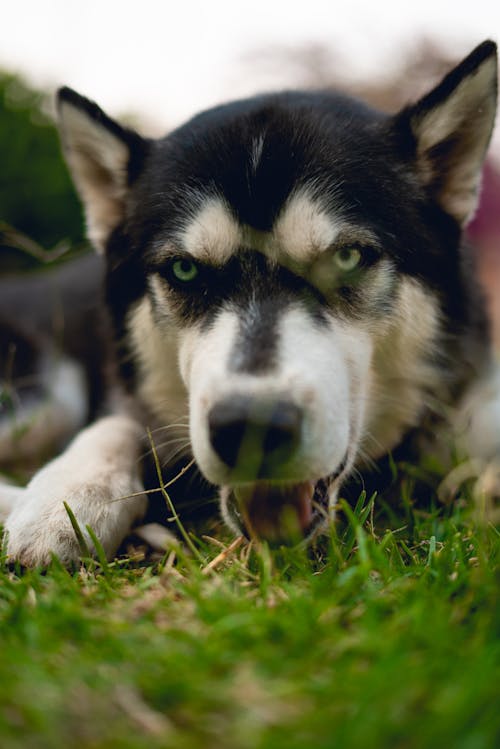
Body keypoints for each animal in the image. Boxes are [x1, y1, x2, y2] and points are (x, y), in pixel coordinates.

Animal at [0, 39, 498, 560]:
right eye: (184, 269)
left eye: (347, 257)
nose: (251, 428)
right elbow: (114, 424)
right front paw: (66, 495)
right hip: (48, 394)